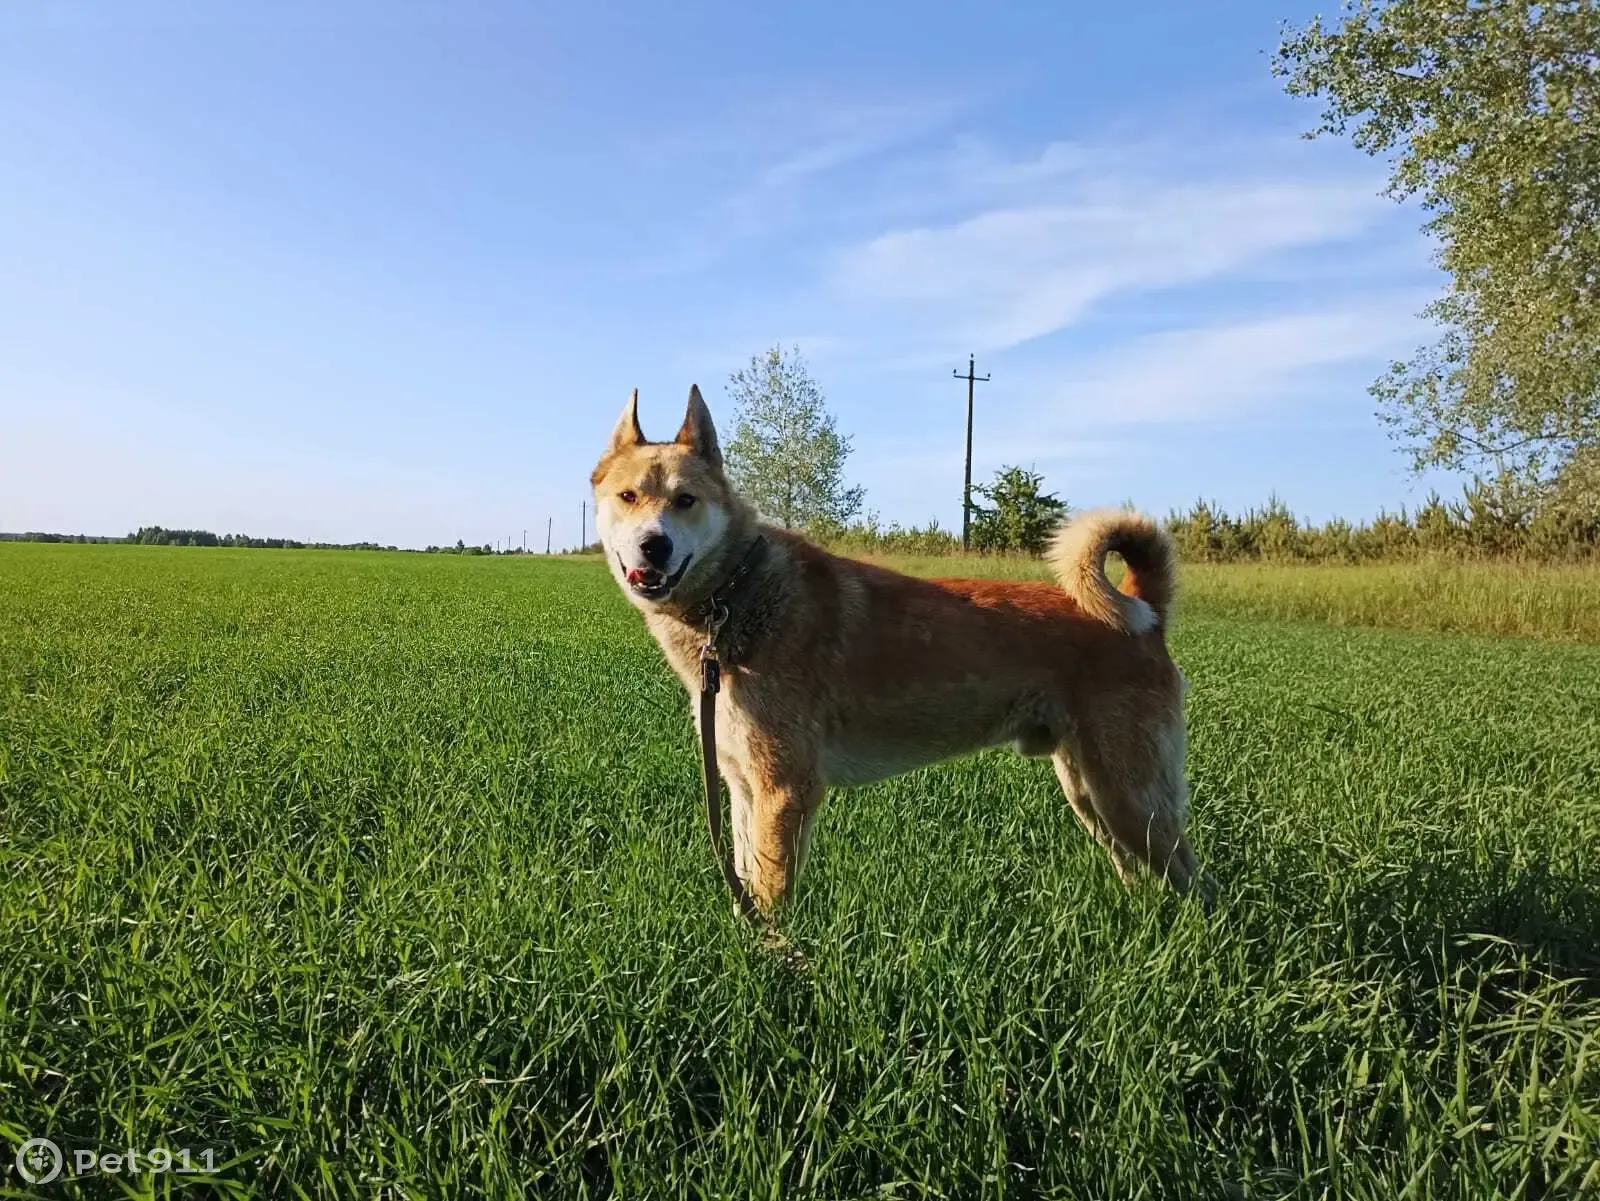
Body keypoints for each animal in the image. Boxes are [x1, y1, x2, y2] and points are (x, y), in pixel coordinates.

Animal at [595, 390, 1203, 914]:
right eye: (628, 497)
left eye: (686, 500)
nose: (654, 545)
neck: (738, 594)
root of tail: (1144, 611)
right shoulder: (743, 787)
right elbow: (745, 880)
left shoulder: (783, 790)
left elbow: (770, 899)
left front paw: (773, 960)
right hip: (1089, 792)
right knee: (1138, 873)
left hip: (1132, 798)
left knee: (1198, 882)